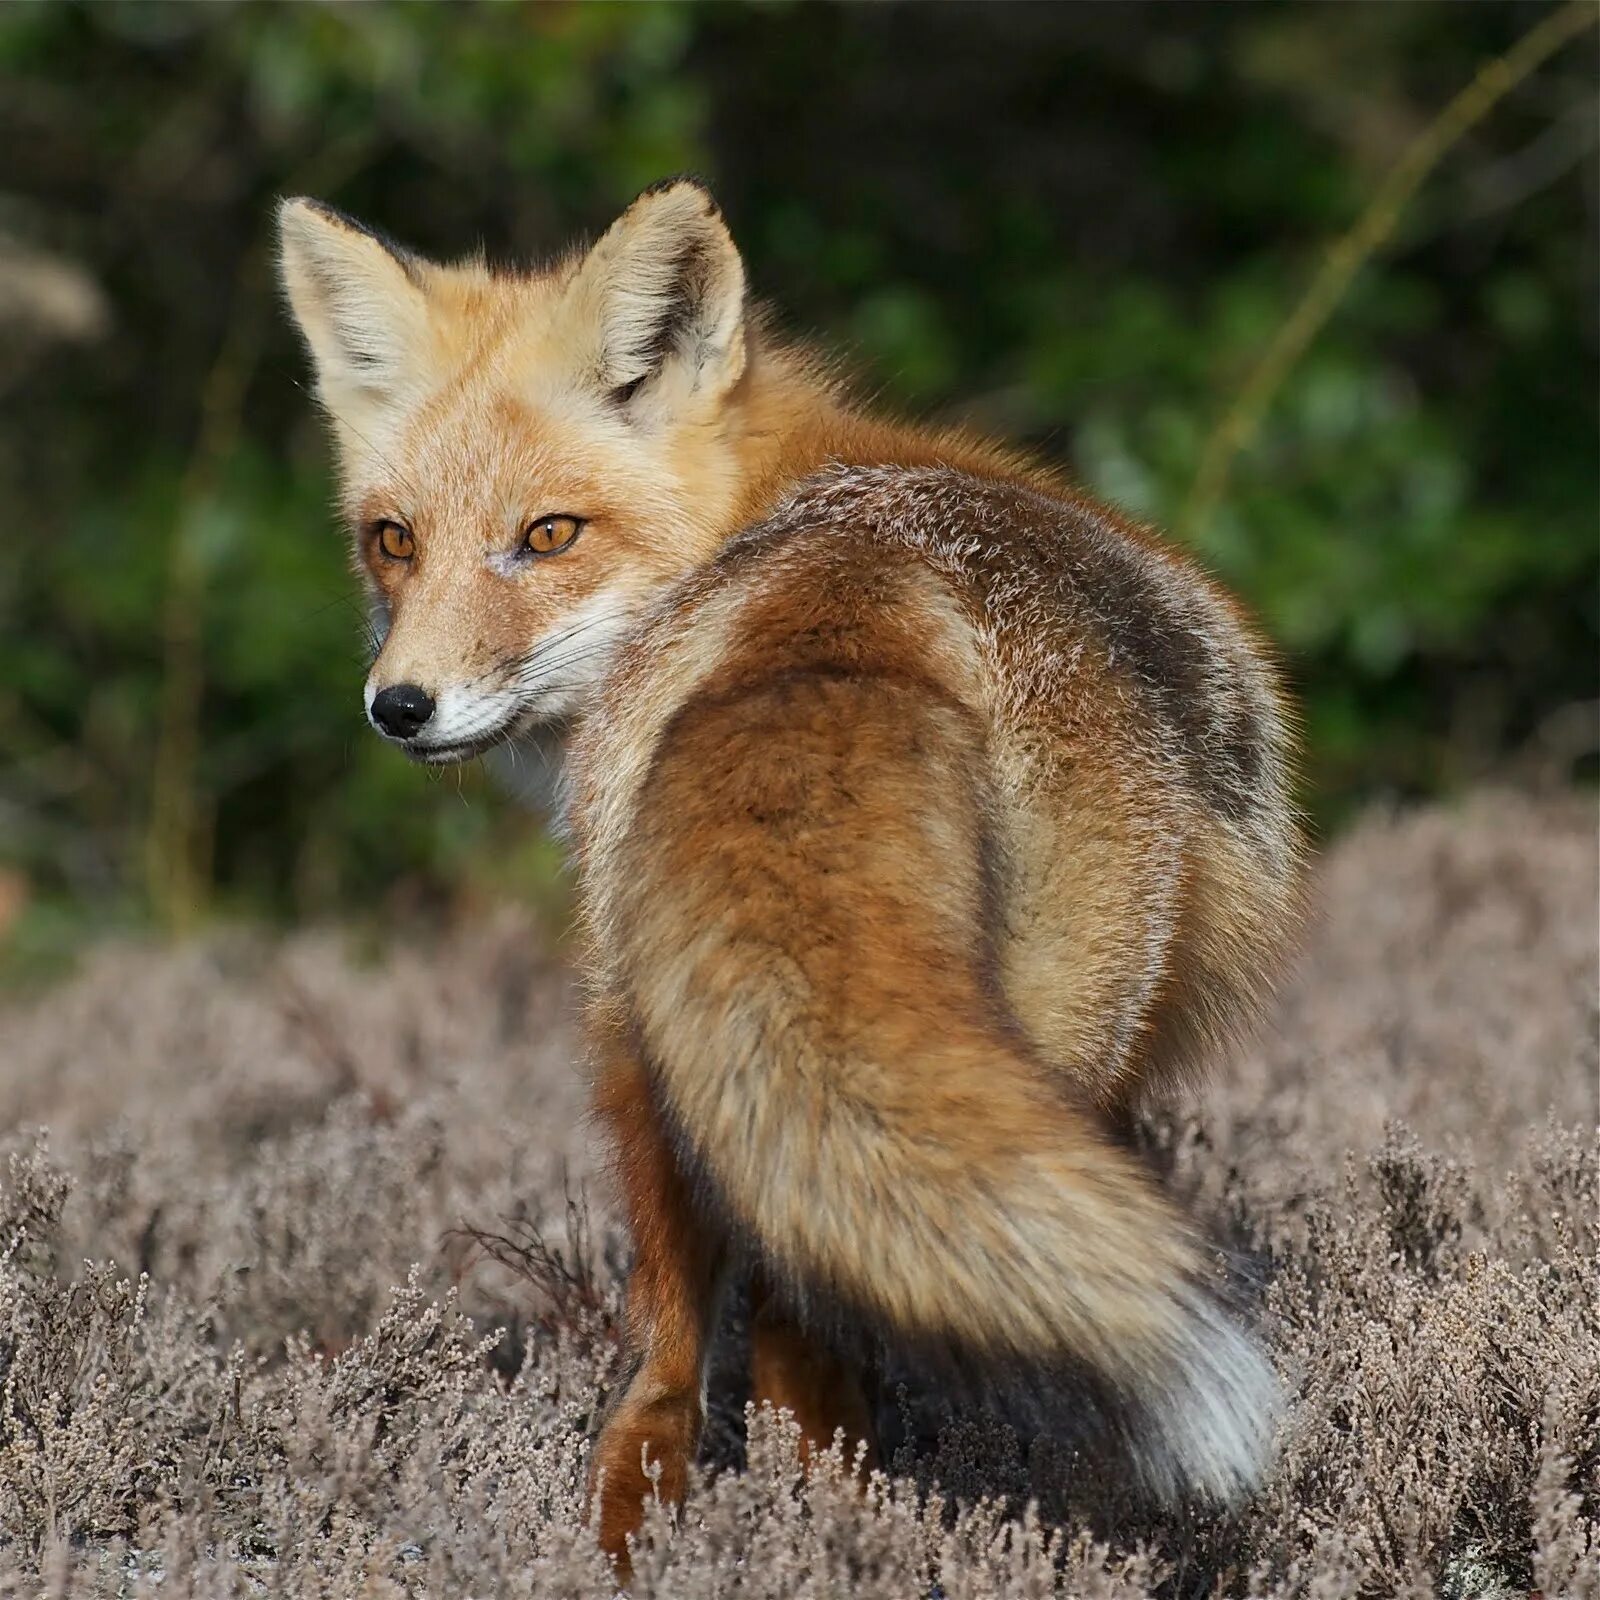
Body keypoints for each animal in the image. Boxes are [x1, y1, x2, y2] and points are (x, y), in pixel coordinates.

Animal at [275, 181, 1299, 1568]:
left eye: (547, 534)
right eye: (395, 540)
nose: (400, 706)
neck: (773, 493)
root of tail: (866, 588)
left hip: (651, 1036)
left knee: (670, 1364)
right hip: (1056, 1035)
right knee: (790, 1331)